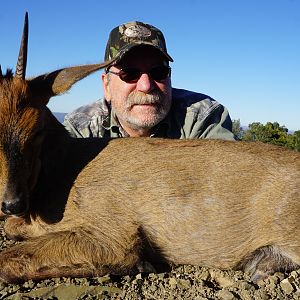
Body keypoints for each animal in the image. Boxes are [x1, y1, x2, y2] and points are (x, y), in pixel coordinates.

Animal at [0, 12, 300, 284]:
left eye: (36, 129)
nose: (12, 203)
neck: (64, 171)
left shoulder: (114, 234)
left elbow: (8, 260)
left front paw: (143, 263)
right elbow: (12, 228)